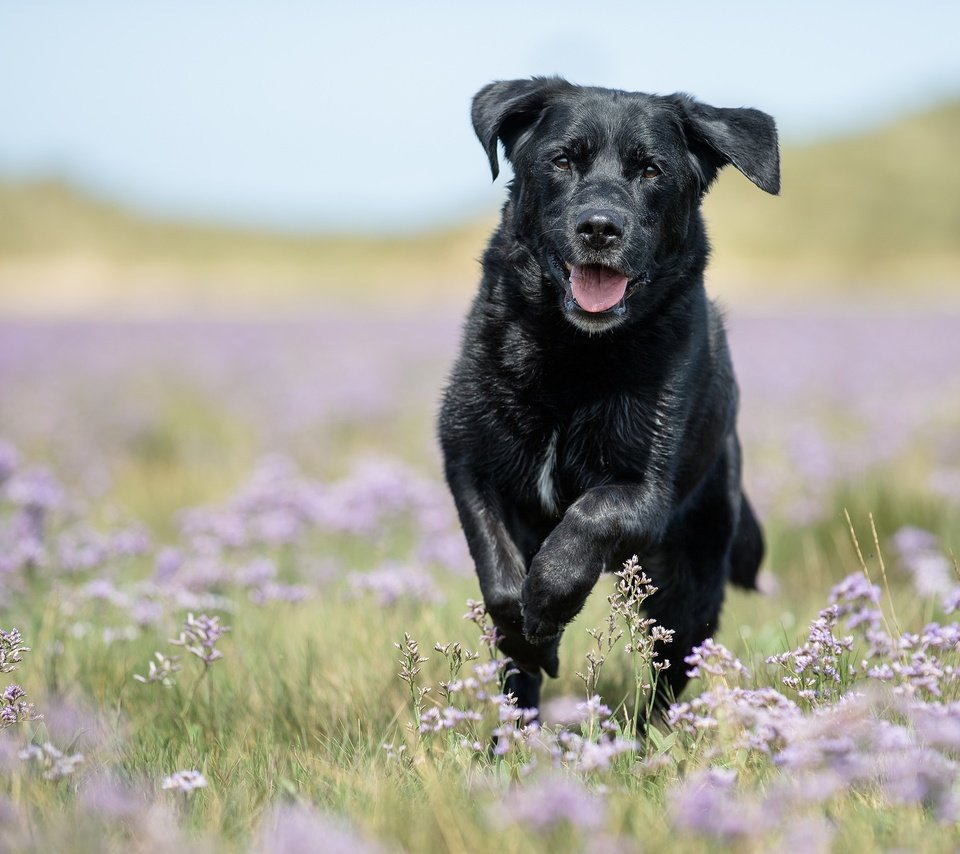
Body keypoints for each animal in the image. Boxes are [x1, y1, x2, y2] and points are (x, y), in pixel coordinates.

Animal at [438, 77, 776, 712]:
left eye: (651, 170)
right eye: (562, 160)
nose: (599, 227)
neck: (573, 356)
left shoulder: (645, 491)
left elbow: (587, 518)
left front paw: (549, 599)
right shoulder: (470, 463)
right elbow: (498, 575)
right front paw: (529, 634)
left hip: (687, 585)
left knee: (671, 671)